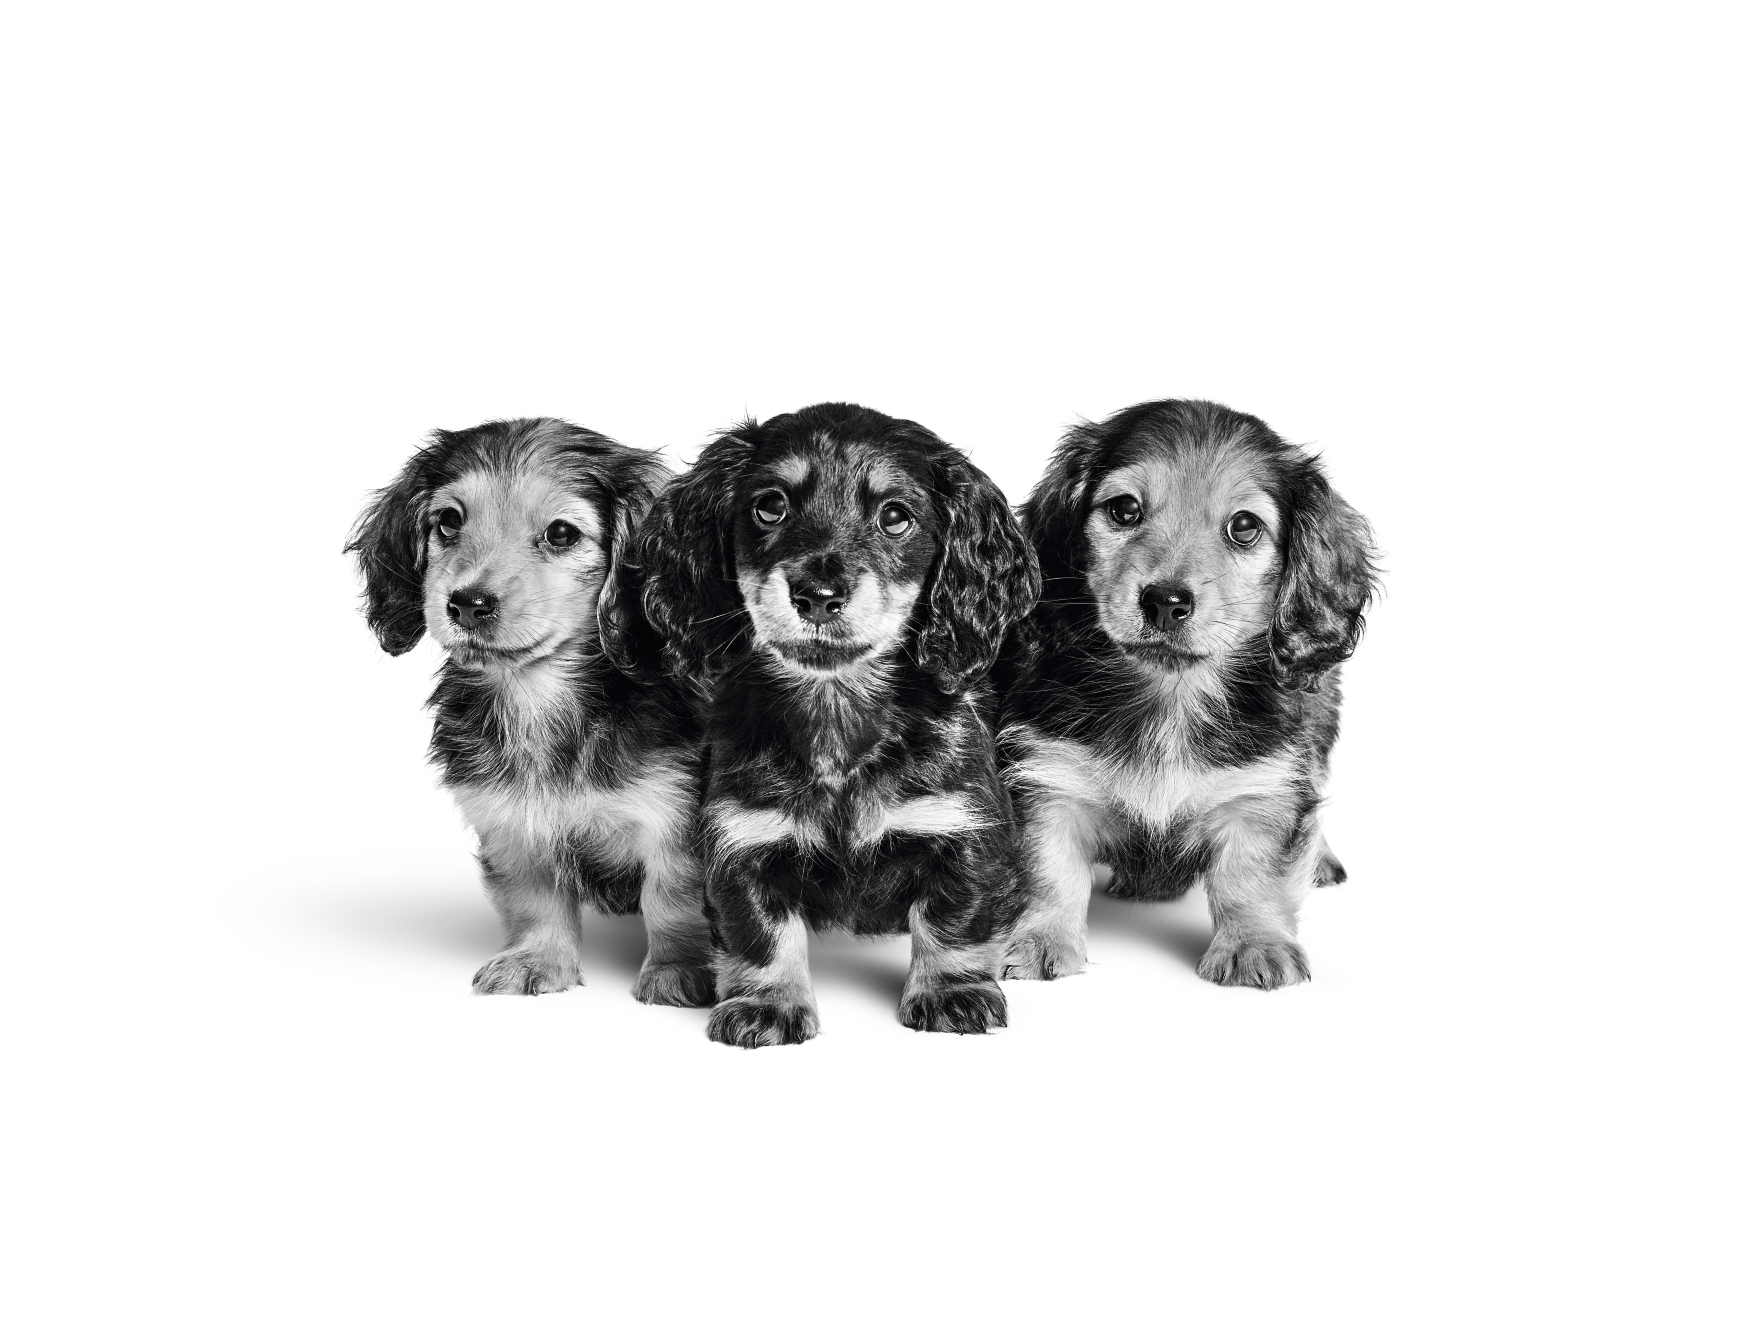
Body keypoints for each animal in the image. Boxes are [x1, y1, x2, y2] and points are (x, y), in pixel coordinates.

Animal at [346, 418, 711, 1006]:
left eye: (561, 534)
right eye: (448, 521)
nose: (467, 604)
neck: (539, 697)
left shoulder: (676, 822)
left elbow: (674, 899)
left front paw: (681, 970)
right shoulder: (512, 820)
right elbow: (534, 899)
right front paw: (537, 960)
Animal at [608, 406, 1041, 1056]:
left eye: (895, 516)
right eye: (770, 507)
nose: (817, 595)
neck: (838, 719)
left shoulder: (964, 828)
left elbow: (955, 919)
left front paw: (951, 993)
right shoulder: (742, 838)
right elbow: (761, 933)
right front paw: (766, 1004)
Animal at [999, 403, 1379, 992]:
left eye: (1244, 526)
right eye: (1124, 509)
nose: (1165, 601)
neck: (1170, 699)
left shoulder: (1263, 786)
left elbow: (1252, 874)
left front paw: (1255, 944)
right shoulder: (1047, 777)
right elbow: (1049, 868)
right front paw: (1040, 939)